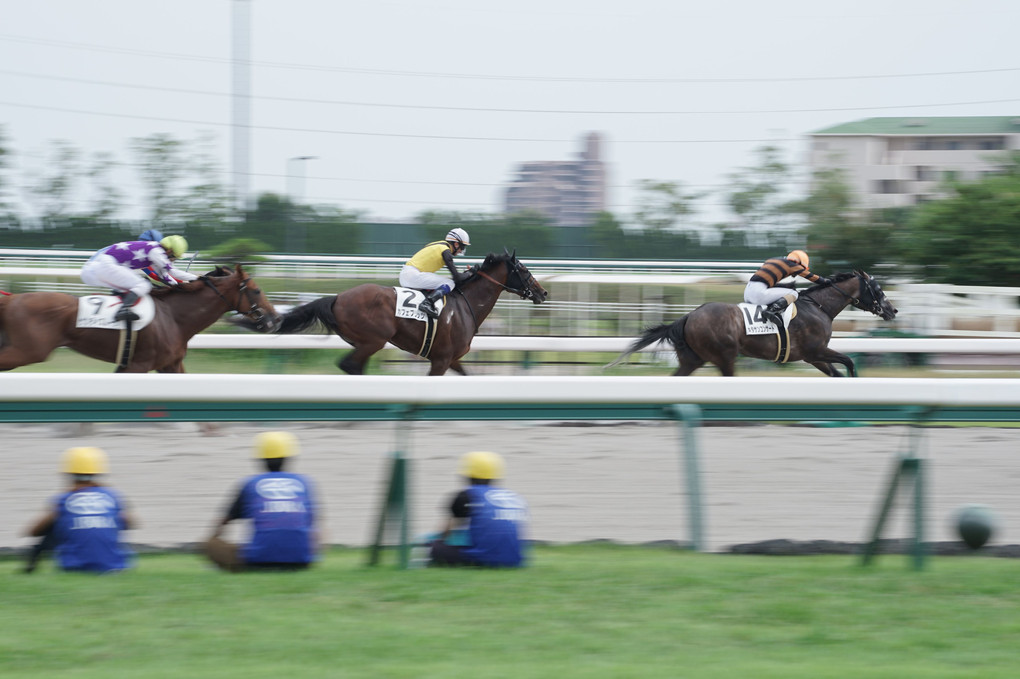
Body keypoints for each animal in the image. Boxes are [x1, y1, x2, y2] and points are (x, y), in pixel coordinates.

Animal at [0, 263, 279, 371]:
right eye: (256, 290)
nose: (275, 319)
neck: (173, 317)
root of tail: (11, 299)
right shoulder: (138, 365)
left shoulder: (169, 365)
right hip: (28, 351)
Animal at [236, 249, 550, 375]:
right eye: (524, 270)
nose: (543, 293)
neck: (465, 306)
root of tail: (338, 297)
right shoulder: (440, 359)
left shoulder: (453, 359)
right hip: (374, 338)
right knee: (350, 365)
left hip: (364, 341)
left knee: (354, 366)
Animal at [607, 269, 897, 375]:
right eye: (877, 289)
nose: (892, 310)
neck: (818, 307)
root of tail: (689, 315)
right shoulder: (816, 350)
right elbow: (849, 361)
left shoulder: (813, 356)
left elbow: (837, 371)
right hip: (724, 356)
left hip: (693, 359)